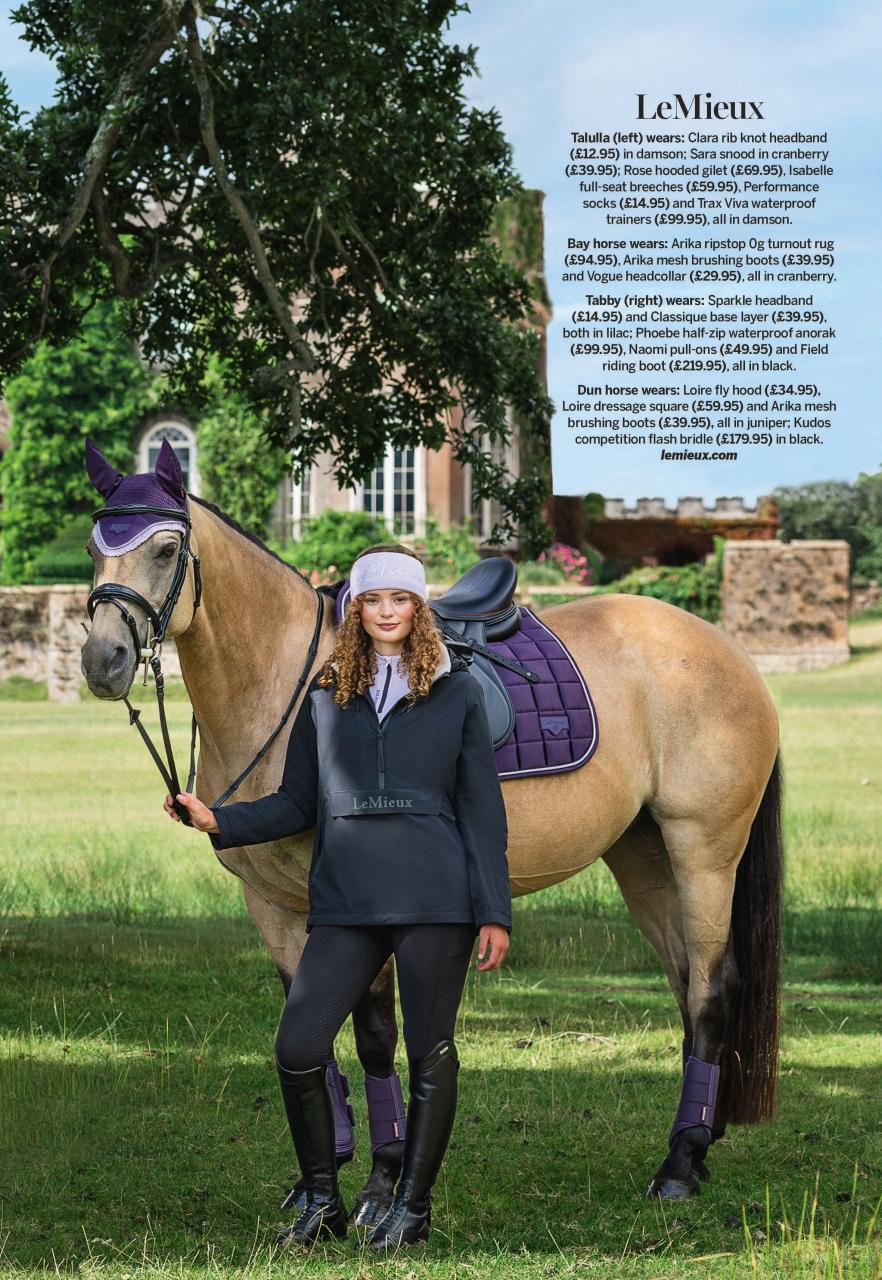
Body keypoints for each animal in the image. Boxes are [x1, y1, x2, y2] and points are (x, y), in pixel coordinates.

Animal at [80, 452, 781, 1216]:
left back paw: (680, 1165)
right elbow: (309, 1030)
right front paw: (320, 1176)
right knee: (684, 983)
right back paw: (694, 1146)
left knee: (712, 987)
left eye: (165, 549)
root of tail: (723, 648)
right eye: (92, 548)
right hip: (645, 857)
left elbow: (375, 1036)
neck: (285, 688)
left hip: (703, 851)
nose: (101, 661)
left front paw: (382, 1179)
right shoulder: (273, 905)